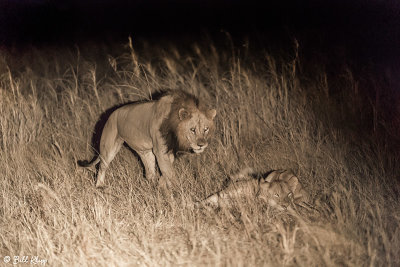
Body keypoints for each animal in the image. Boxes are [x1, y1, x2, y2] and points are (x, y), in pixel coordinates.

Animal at [77, 90, 216, 188]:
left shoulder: (168, 150)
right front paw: (177, 192)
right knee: (102, 166)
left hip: (145, 151)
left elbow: (166, 171)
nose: (201, 145)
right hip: (109, 147)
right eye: (192, 129)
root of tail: (111, 113)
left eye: (206, 129)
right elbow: (170, 173)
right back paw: (99, 186)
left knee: (149, 173)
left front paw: (161, 186)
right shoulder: (160, 150)